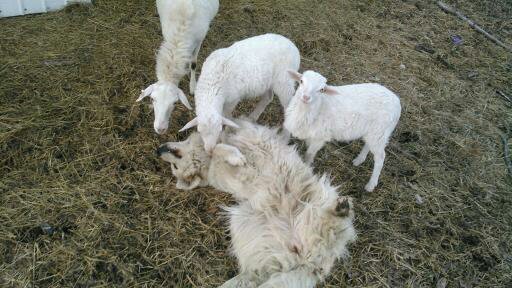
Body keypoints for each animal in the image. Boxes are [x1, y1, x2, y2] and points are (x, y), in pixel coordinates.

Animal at [136, 0, 218, 135]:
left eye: (175, 102)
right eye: (152, 99)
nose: (160, 129)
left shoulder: (199, 39)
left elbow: (194, 63)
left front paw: (192, 86)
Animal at [156, 118, 356, 286]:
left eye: (174, 166)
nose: (157, 150)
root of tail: (309, 262)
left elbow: (220, 145)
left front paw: (233, 153)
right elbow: (222, 149)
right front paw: (235, 157)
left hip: (321, 195)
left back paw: (340, 209)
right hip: (242, 221)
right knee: (257, 275)